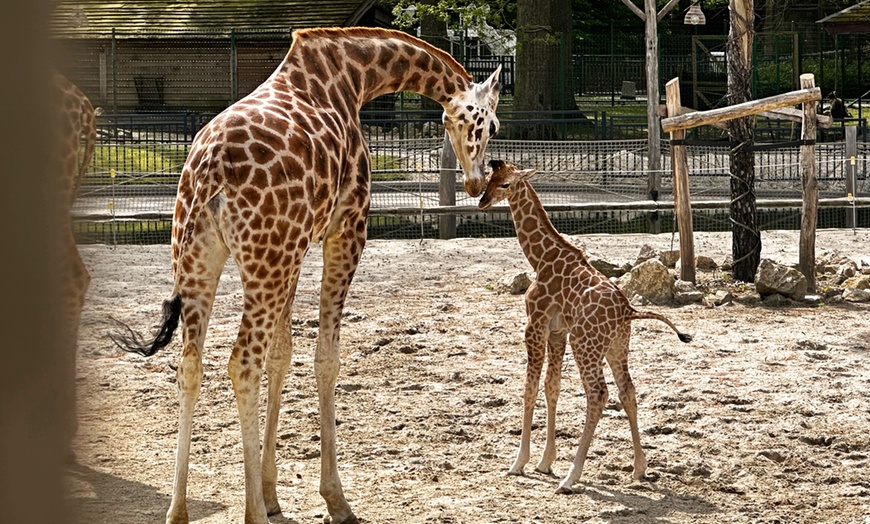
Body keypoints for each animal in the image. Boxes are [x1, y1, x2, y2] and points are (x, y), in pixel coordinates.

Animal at [112, 28, 500, 524]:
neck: (355, 77)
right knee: (242, 362)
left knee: (191, 364)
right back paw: (252, 514)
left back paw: (178, 510)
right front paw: (334, 499)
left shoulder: (295, 252)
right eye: (490, 125)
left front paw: (272, 490)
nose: (475, 184)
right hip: (265, 260)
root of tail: (208, 170)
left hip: (203, 258)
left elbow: (282, 355)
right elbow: (326, 358)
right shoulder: (346, 228)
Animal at [476, 159, 696, 492]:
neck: (540, 259)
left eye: (506, 184)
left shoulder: (535, 325)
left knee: (598, 394)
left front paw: (519, 463)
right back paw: (639, 468)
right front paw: (545, 461)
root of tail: (627, 310)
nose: (482, 201)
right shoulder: (558, 331)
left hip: (585, 343)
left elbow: (529, 387)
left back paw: (572, 476)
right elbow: (551, 387)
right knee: (627, 390)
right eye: (489, 177)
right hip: (617, 346)